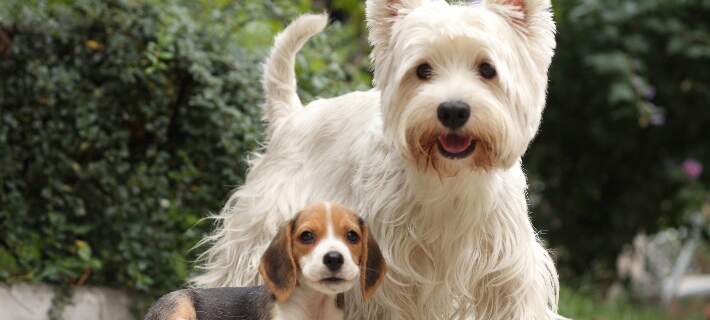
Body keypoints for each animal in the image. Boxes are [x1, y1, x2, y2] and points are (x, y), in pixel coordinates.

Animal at [195, 1, 560, 318]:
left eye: (487, 69)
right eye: (422, 70)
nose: (453, 110)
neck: (450, 180)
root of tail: (292, 116)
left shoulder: (506, 274)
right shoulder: (385, 276)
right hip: (260, 231)